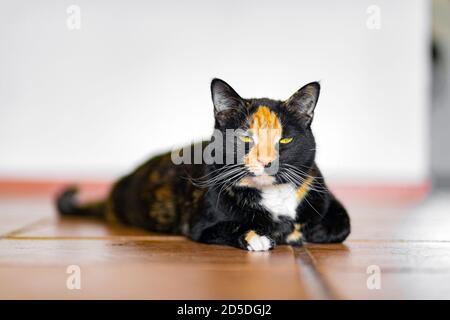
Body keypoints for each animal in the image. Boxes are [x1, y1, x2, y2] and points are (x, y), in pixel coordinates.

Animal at [56, 79, 352, 251]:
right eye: (245, 137)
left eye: (286, 138)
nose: (266, 161)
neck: (274, 199)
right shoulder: (201, 224)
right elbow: (233, 227)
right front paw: (264, 236)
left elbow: (340, 226)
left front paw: (299, 232)